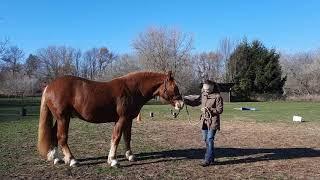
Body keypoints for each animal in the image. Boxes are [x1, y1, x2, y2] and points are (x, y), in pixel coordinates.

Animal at [37, 71, 184, 167]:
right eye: (174, 87)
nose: (181, 104)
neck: (132, 89)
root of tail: (49, 86)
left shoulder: (128, 120)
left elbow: (127, 137)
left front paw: (129, 155)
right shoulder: (121, 119)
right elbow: (116, 137)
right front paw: (113, 160)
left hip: (60, 118)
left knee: (54, 135)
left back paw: (56, 158)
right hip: (63, 118)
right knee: (62, 137)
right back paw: (72, 160)